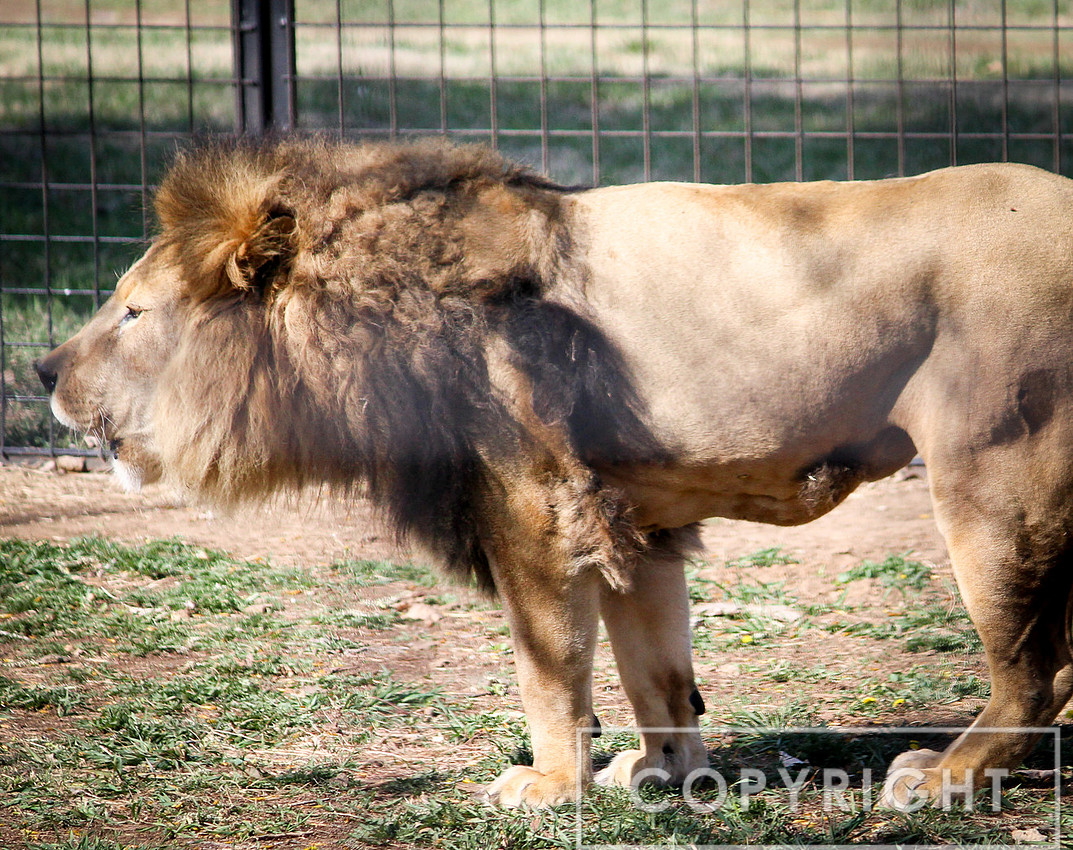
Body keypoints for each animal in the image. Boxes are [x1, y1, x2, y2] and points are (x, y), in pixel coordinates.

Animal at [36, 137, 1073, 809]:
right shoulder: (631, 515)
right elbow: (655, 667)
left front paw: (549, 784)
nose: (41, 371)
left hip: (992, 476)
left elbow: (550, 669)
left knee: (1033, 672)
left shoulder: (530, 504)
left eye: (131, 312)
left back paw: (941, 777)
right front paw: (662, 776)